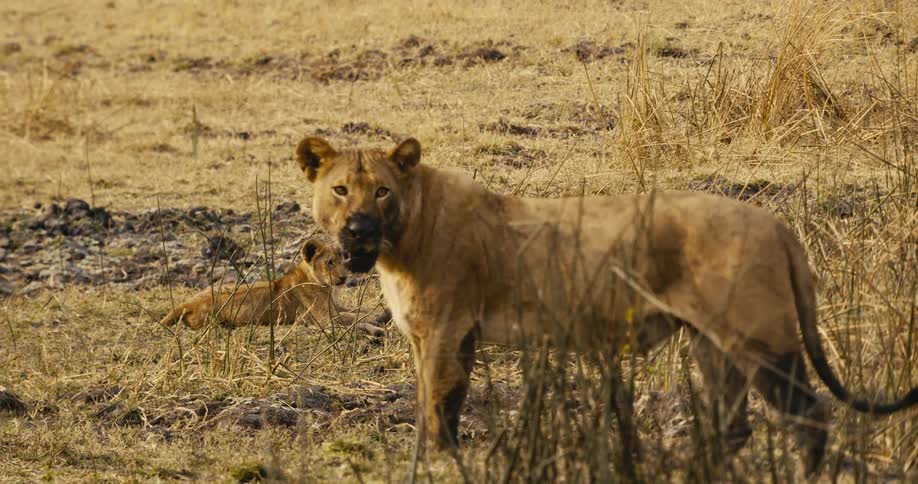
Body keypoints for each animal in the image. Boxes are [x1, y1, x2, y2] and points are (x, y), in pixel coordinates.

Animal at [159, 238, 386, 336]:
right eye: (330, 262)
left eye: (344, 260)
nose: (343, 278)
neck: (326, 286)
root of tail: (187, 303)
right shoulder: (323, 318)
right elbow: (355, 319)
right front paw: (377, 324)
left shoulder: (333, 306)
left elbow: (359, 310)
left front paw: (380, 314)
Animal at [294, 136, 917, 476]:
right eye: (340, 190)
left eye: (380, 191)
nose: (356, 228)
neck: (398, 242)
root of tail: (777, 224)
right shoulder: (451, 337)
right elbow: (442, 406)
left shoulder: (446, 331)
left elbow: (436, 412)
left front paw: (437, 463)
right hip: (712, 344)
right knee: (734, 426)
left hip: (762, 338)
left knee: (808, 415)